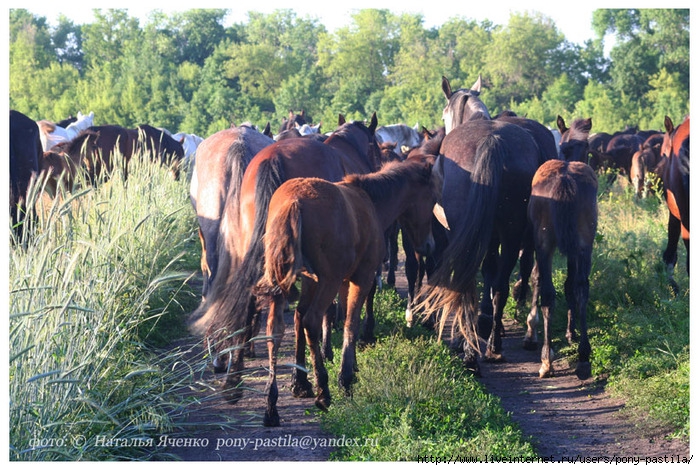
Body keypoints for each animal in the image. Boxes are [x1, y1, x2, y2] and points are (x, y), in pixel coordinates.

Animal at [253, 155, 442, 426]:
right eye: (432, 199)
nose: (429, 245)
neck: (369, 201)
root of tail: (294, 202)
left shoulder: (320, 280)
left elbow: (314, 317)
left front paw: (304, 381)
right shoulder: (360, 278)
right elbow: (350, 322)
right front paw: (346, 378)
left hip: (292, 280)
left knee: (278, 328)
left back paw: (275, 402)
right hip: (328, 280)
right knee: (311, 319)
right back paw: (323, 392)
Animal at [524, 160, 596, 380]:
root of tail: (565, 180)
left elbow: (537, 278)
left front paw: (531, 333)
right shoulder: (574, 249)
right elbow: (570, 285)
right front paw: (571, 333)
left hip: (544, 240)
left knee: (548, 293)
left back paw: (546, 361)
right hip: (584, 241)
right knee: (581, 287)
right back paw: (583, 358)